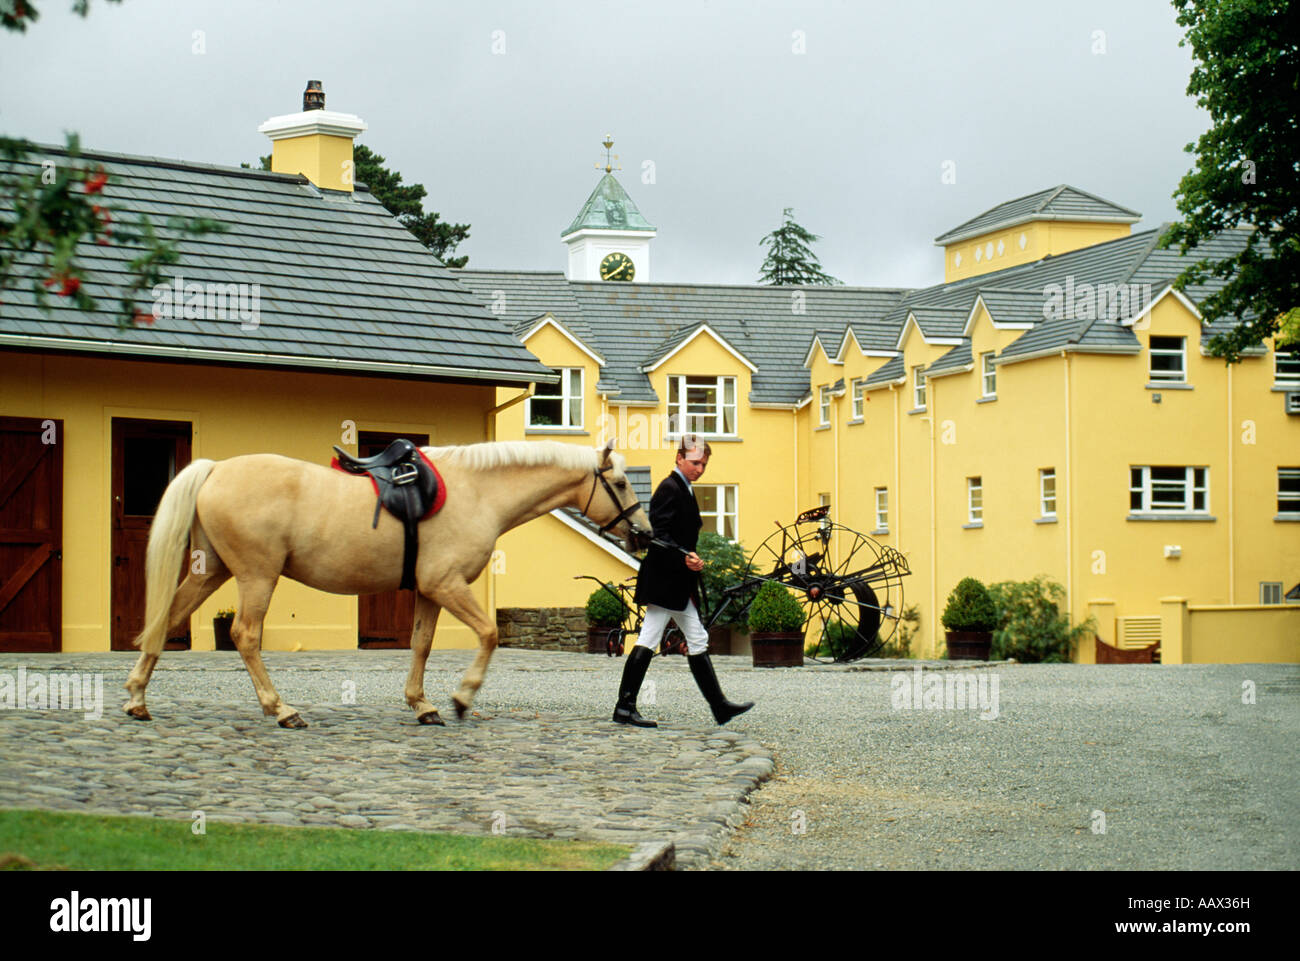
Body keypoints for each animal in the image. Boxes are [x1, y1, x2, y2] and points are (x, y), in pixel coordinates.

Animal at [124, 439, 650, 723]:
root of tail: (216, 469)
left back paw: (137, 699)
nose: (644, 534)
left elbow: (420, 644)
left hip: (210, 570)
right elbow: (488, 634)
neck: (478, 492)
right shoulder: (446, 585)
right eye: (621, 483)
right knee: (245, 635)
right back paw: (281, 709)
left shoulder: (429, 591)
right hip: (257, 575)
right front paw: (461, 698)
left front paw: (422, 705)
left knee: (166, 620)